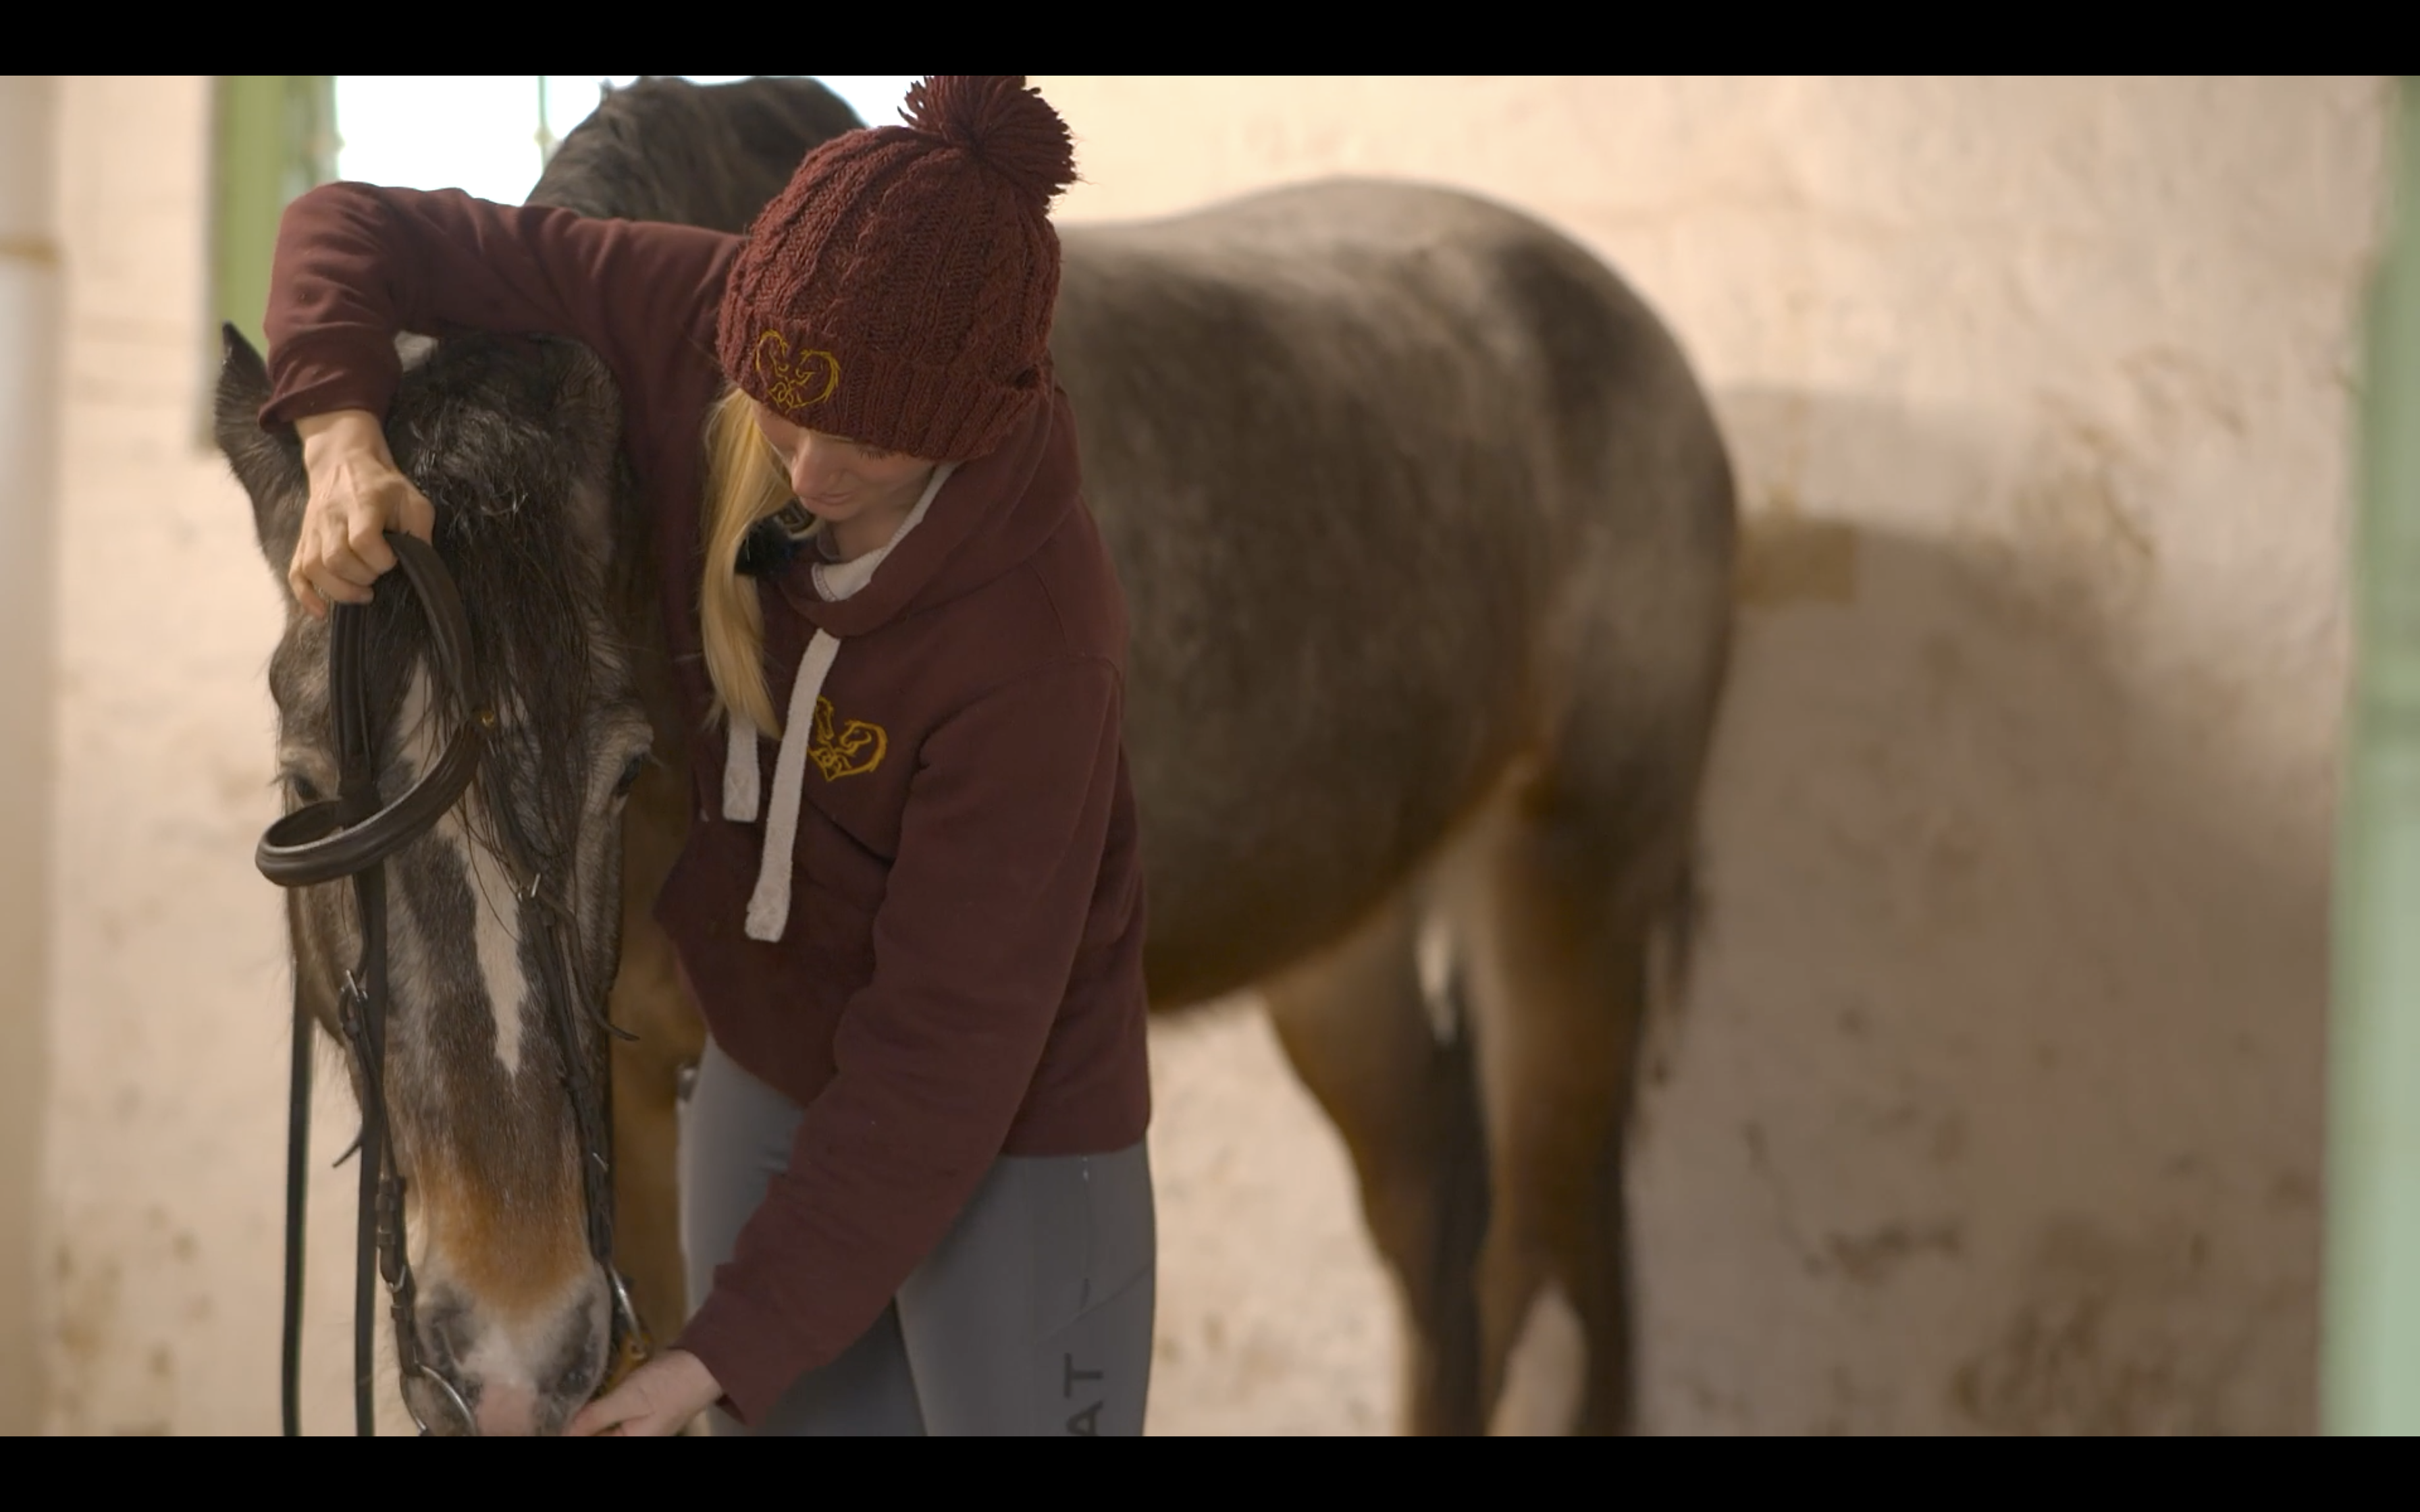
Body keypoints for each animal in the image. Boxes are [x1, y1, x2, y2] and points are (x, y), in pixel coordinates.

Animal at [214, 75, 1736, 1436]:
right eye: (308, 791)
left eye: (620, 775)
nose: (515, 1346)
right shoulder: (628, 1137)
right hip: (1346, 942)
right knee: (1434, 1232)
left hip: (1567, 904)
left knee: (1543, 1279)